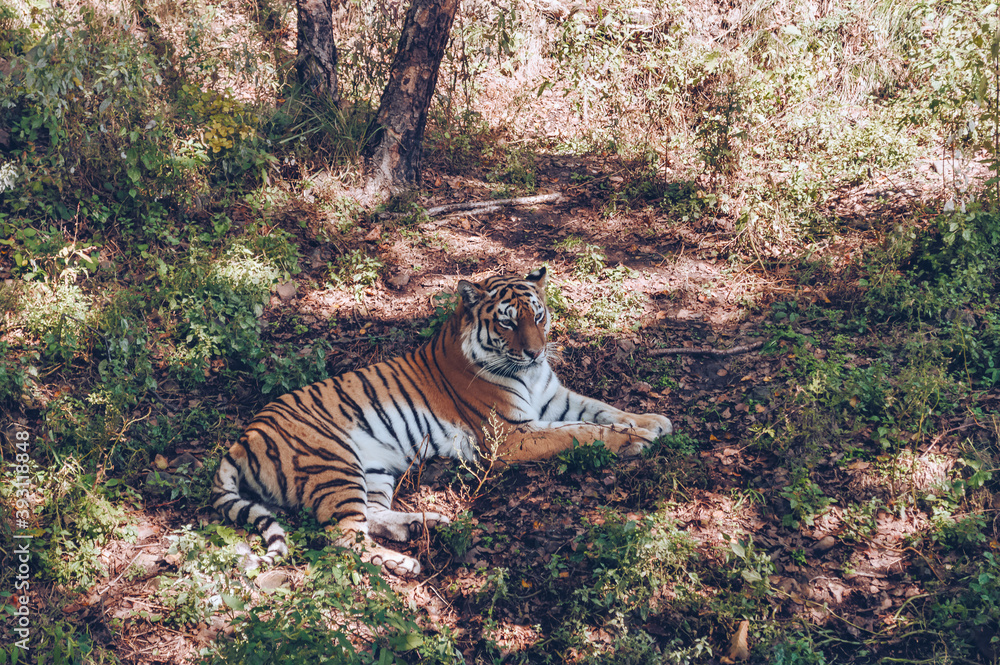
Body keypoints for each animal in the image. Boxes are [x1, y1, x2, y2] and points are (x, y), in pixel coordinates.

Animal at [211, 267, 672, 576]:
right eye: (508, 321)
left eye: (538, 316)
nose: (536, 352)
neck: (529, 375)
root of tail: (243, 438)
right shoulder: (510, 437)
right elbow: (579, 433)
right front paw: (633, 440)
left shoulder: (553, 399)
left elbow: (601, 409)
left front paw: (653, 421)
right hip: (333, 462)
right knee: (343, 537)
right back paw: (404, 563)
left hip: (373, 469)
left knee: (371, 514)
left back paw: (422, 522)